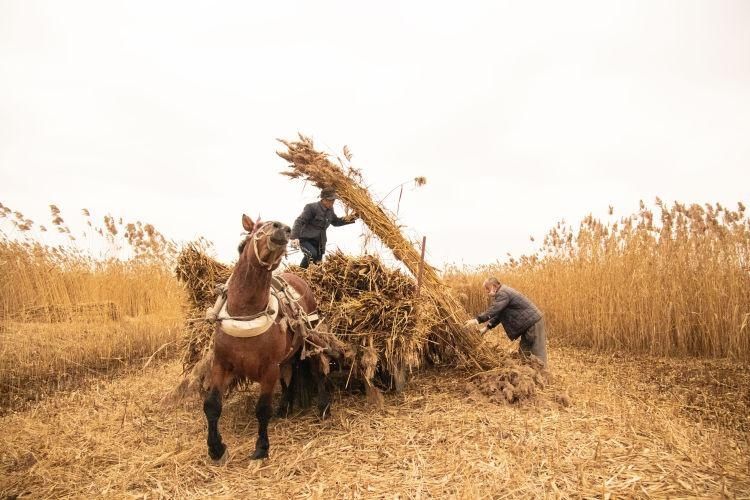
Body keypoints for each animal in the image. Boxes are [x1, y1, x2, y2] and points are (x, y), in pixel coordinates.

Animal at [204, 213, 330, 462]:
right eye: (257, 228)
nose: (283, 228)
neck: (245, 314)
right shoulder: (220, 363)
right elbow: (212, 405)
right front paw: (216, 448)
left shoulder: (269, 368)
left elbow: (262, 409)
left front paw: (261, 447)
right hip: (288, 355)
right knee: (290, 375)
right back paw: (285, 407)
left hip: (311, 340)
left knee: (317, 370)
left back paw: (323, 408)